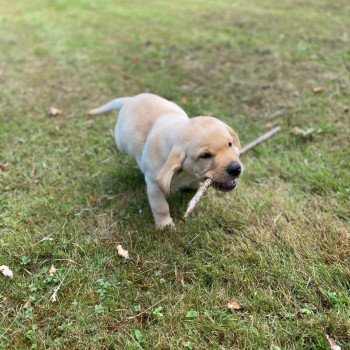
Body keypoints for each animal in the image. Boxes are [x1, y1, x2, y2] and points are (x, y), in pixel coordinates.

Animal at [89, 93, 242, 227]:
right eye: (205, 155)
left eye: (230, 144)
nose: (236, 168)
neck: (185, 172)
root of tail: (130, 99)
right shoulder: (154, 186)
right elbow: (161, 207)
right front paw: (165, 225)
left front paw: (192, 187)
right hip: (121, 141)